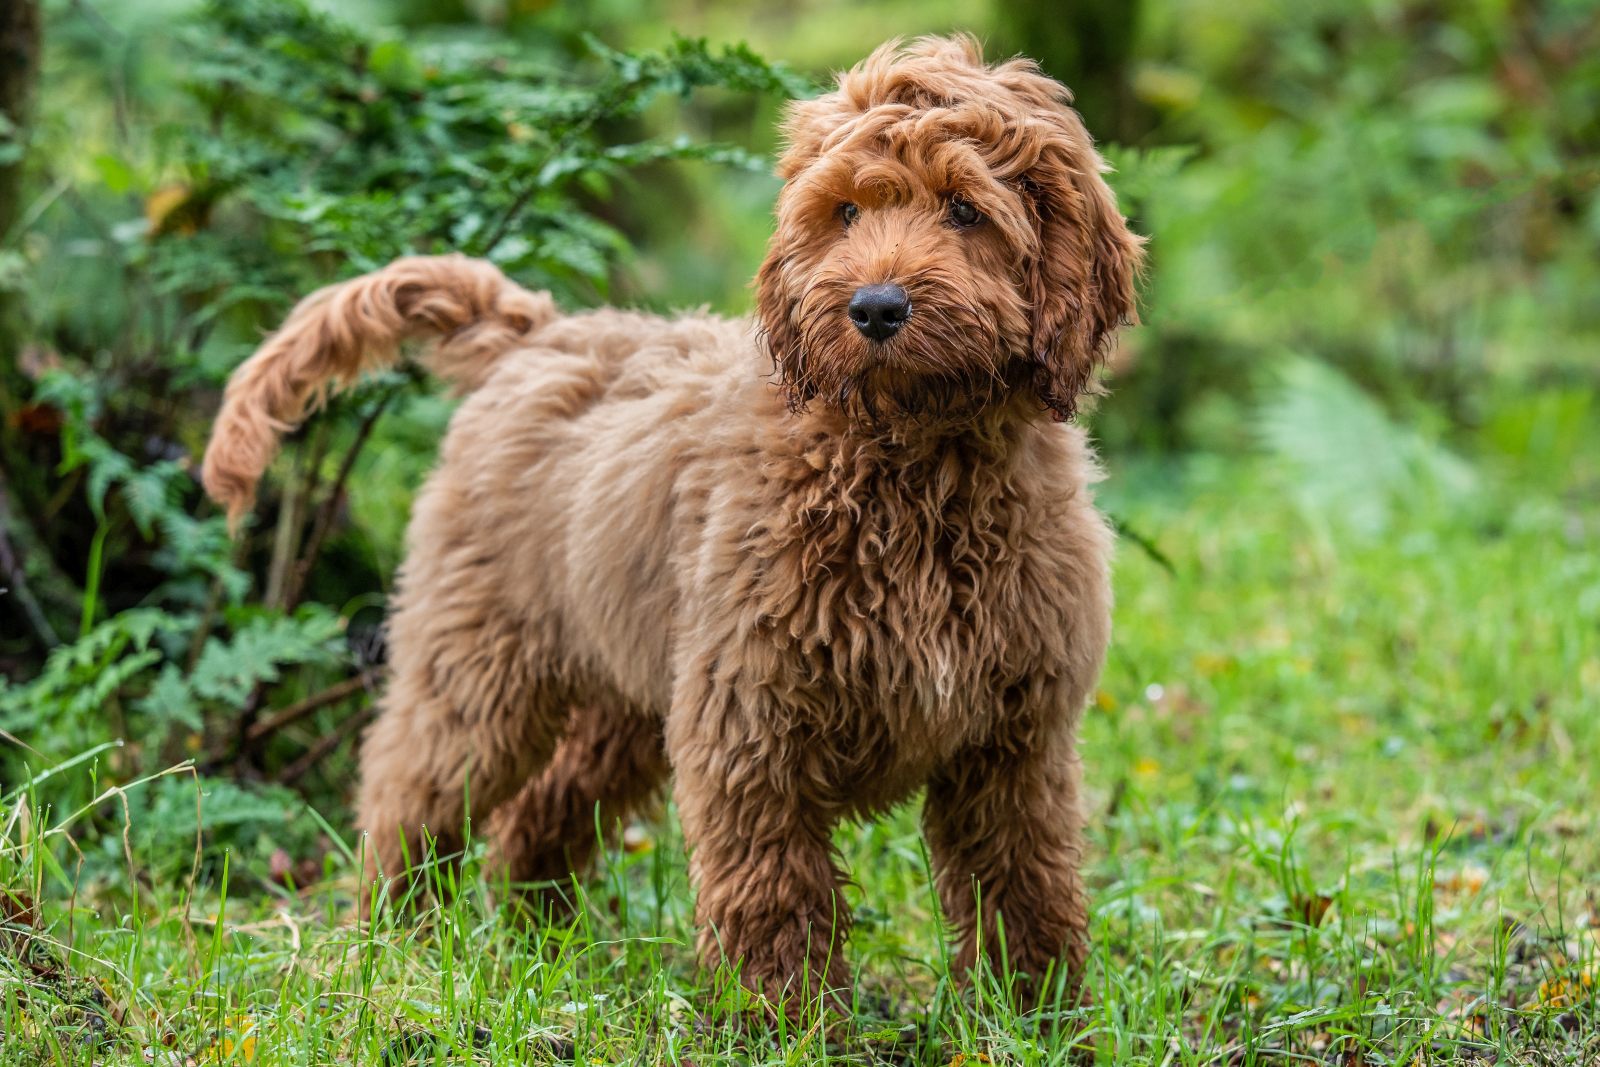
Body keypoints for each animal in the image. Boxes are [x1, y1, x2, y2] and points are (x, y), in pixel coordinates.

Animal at [200, 35, 1145, 1017]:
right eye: (845, 211)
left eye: (965, 208)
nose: (875, 308)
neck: (909, 462)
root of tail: (536, 332)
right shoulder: (750, 715)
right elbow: (774, 885)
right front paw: (784, 1018)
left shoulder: (1015, 739)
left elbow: (1025, 879)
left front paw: (1037, 1010)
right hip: (480, 659)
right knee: (411, 789)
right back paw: (392, 941)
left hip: (625, 684)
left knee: (541, 811)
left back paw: (545, 944)